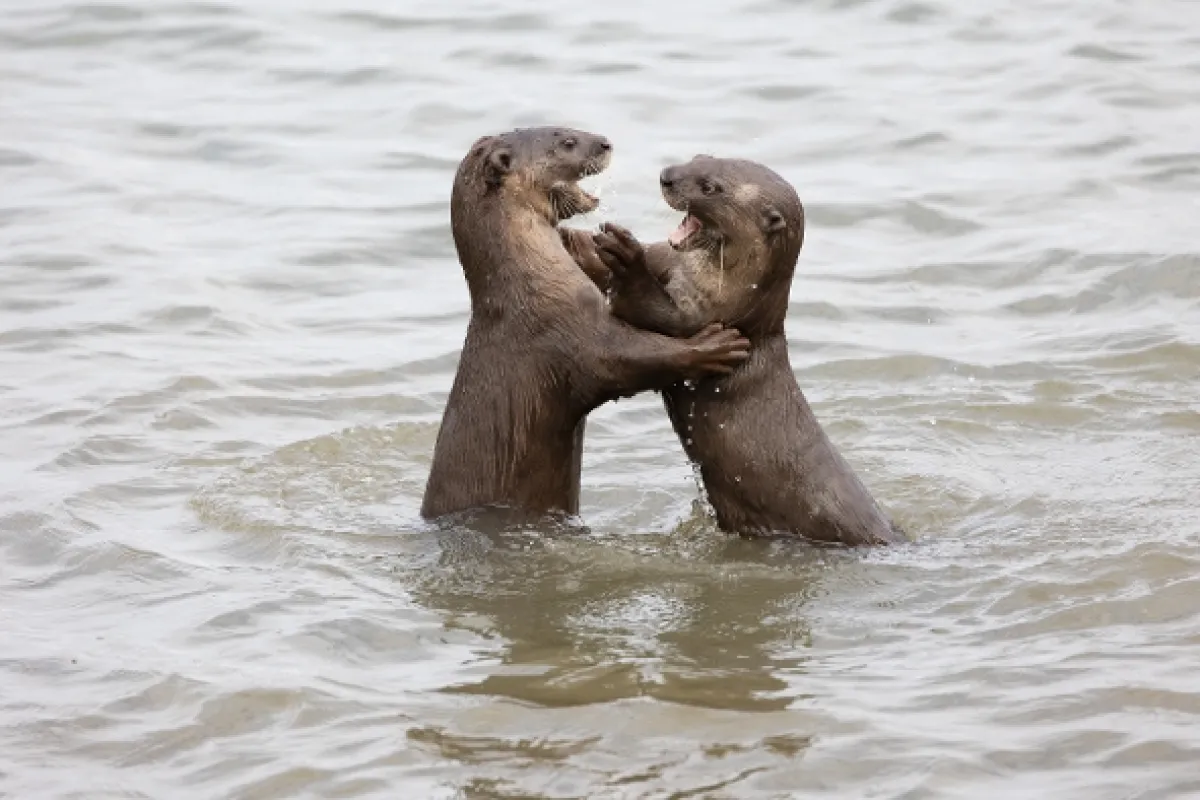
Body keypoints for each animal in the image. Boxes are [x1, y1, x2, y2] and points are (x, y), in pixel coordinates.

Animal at [420, 131, 751, 520]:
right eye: (567, 141)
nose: (606, 143)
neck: (529, 283)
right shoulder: (569, 334)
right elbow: (630, 361)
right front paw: (716, 346)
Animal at [571, 155, 905, 546]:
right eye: (699, 157)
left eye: (710, 186)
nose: (666, 175)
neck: (730, 296)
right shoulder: (668, 261)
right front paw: (574, 239)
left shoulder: (703, 317)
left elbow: (651, 310)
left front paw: (625, 256)